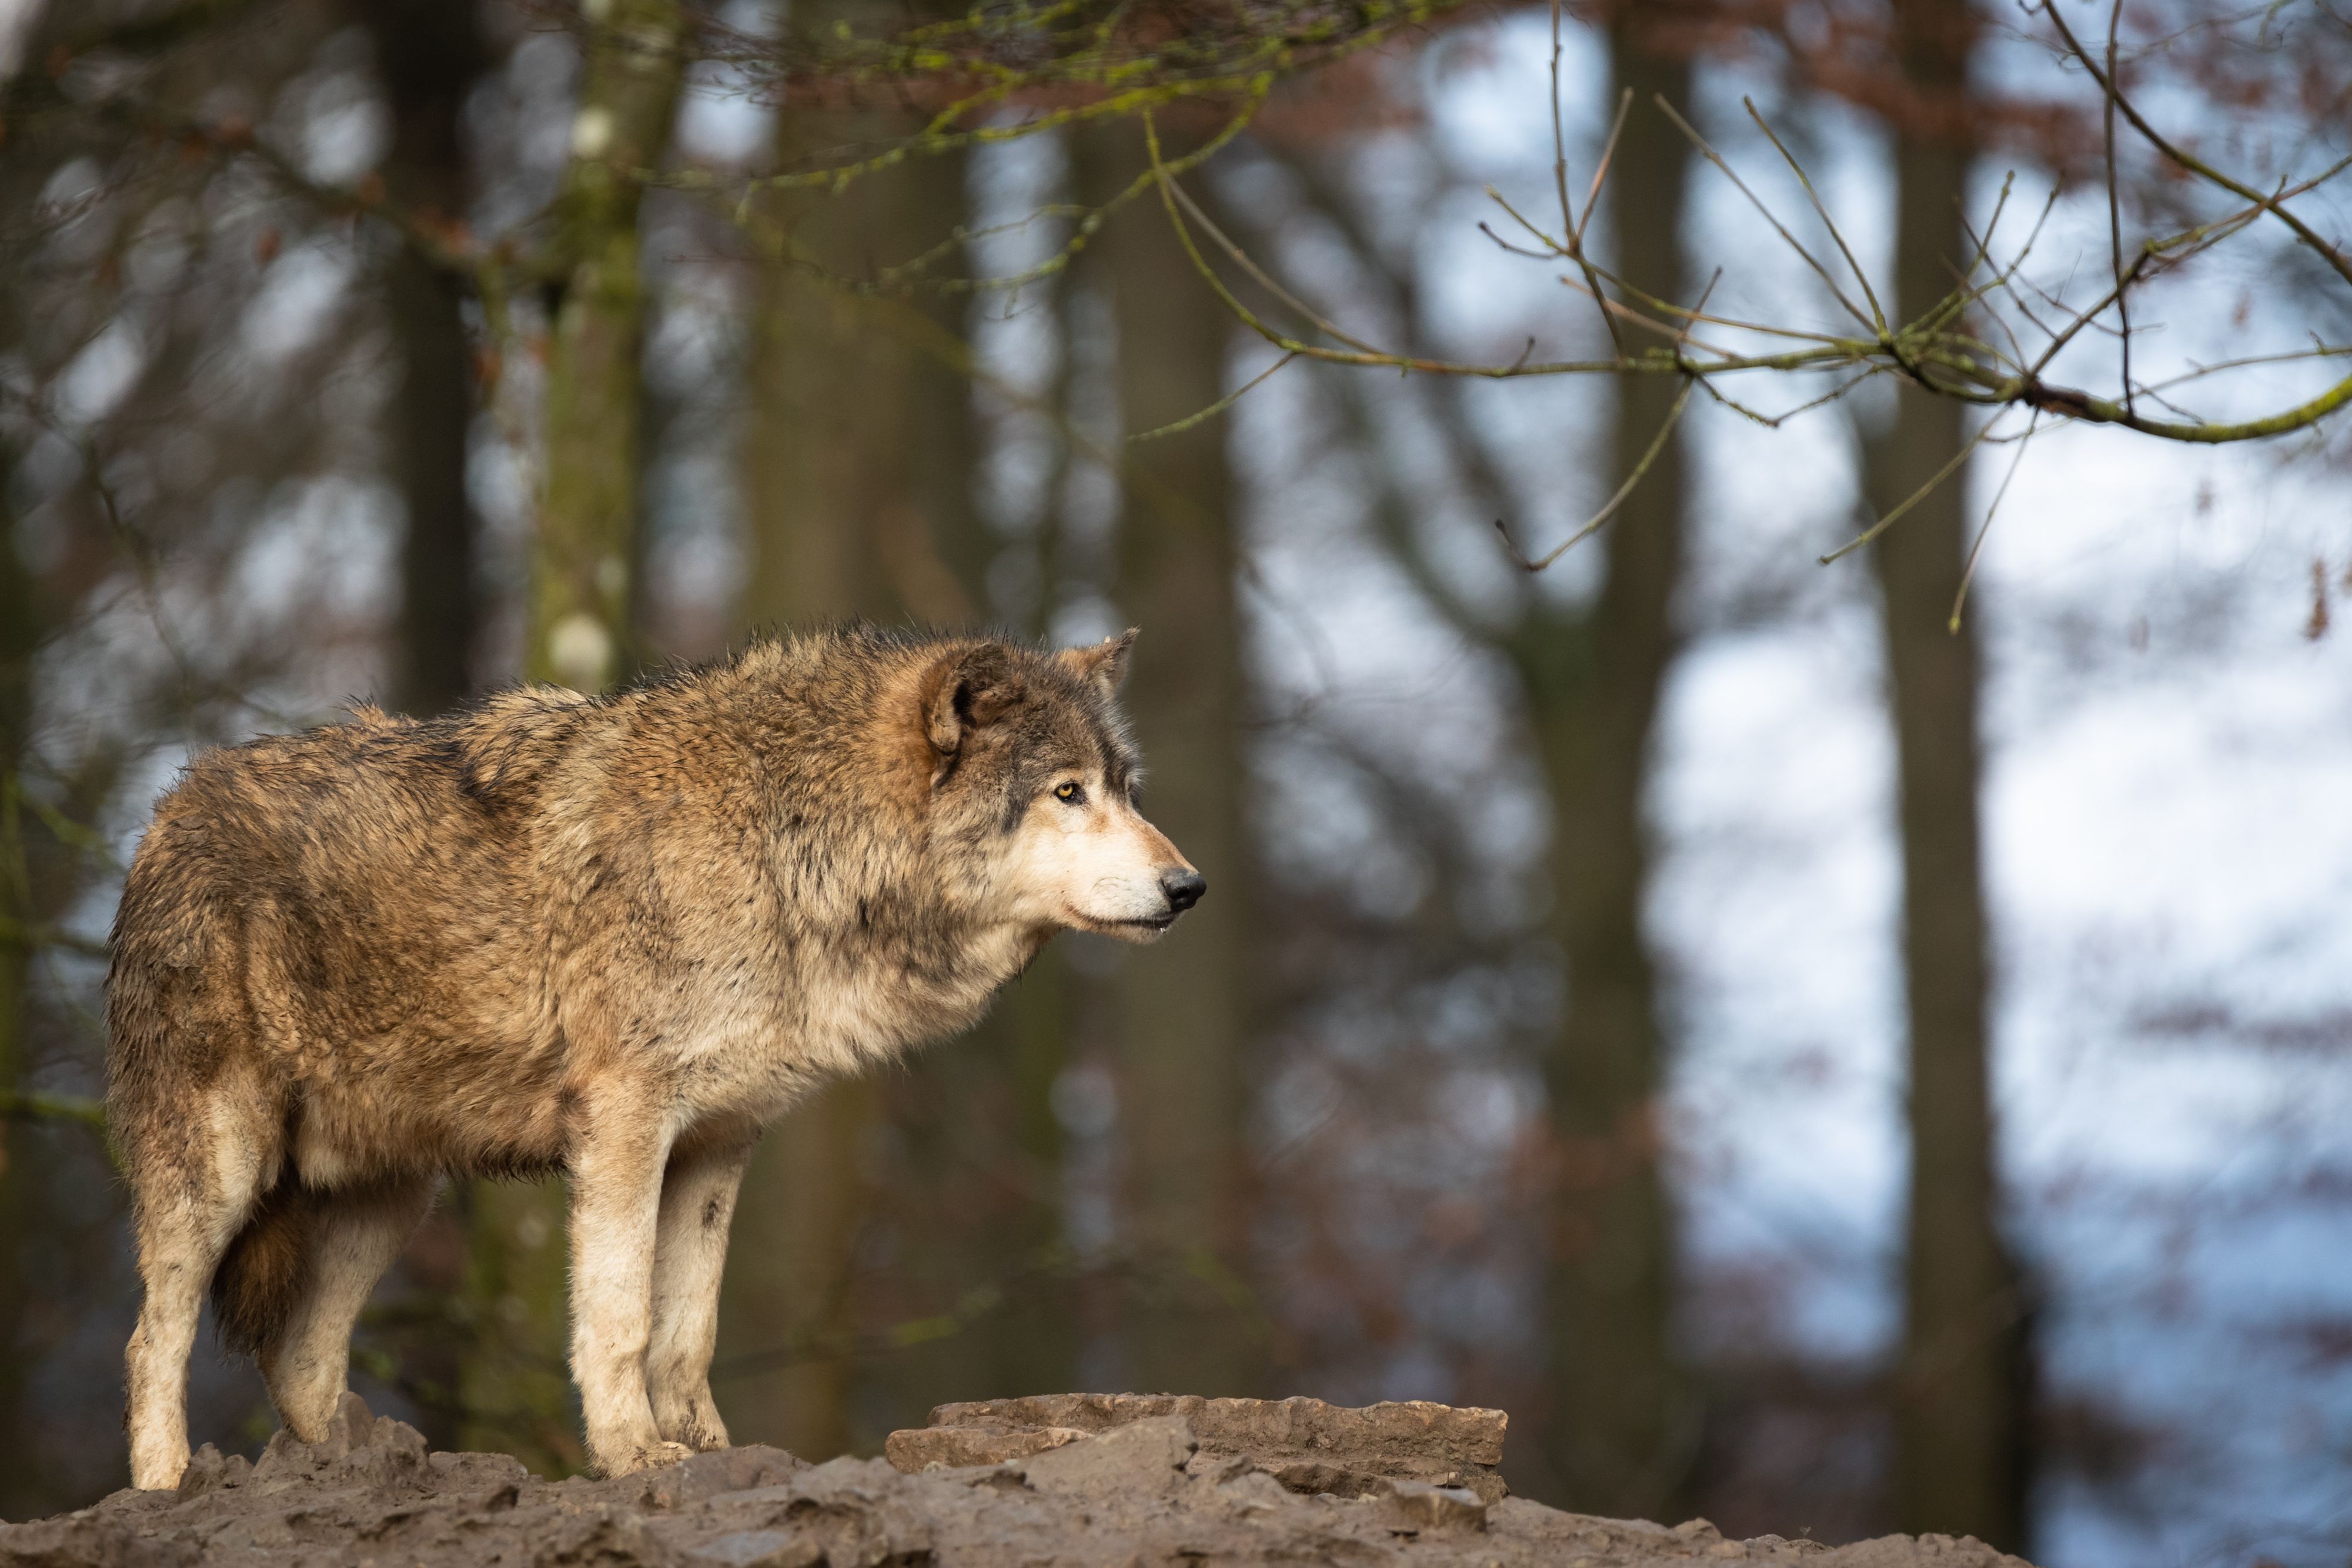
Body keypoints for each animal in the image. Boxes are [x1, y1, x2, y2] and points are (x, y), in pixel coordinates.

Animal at [106, 625, 1203, 1490]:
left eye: (1127, 790)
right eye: (1067, 792)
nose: (1189, 886)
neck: (784, 844)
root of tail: (161, 811)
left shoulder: (719, 1141)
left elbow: (688, 1327)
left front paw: (714, 1451)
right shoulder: (627, 1123)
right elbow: (623, 1313)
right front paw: (632, 1455)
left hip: (389, 1197)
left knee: (300, 1359)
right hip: (225, 1169)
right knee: (153, 1334)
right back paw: (167, 1486)